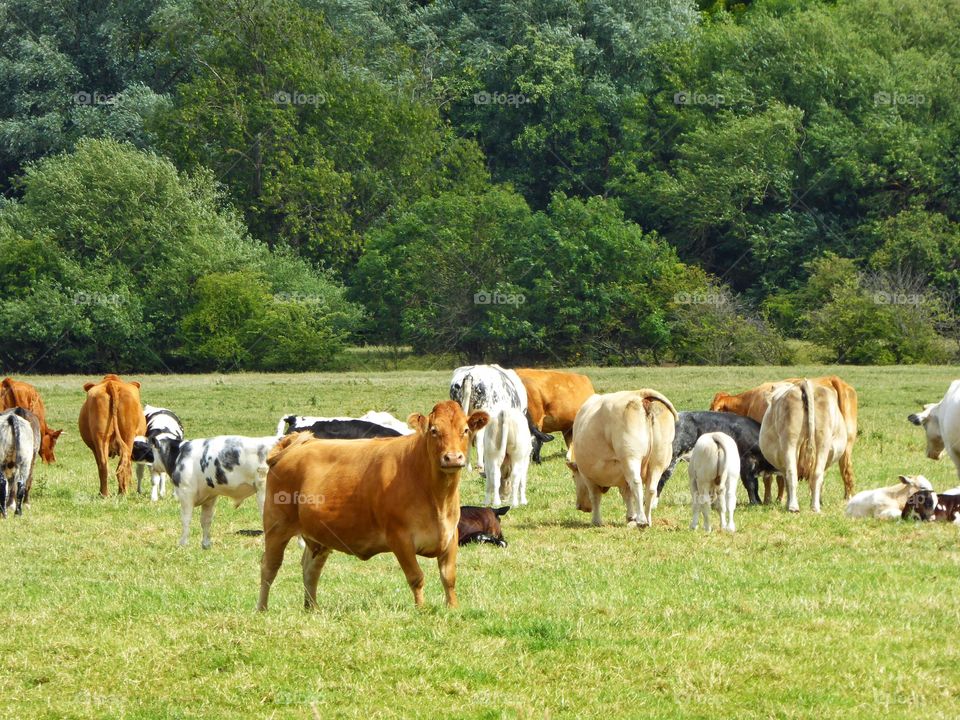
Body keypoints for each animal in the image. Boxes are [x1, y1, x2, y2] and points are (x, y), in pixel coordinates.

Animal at [150, 436, 278, 548]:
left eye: (150, 450)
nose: (151, 467)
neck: (179, 454)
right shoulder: (210, 496)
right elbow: (206, 520)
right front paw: (206, 544)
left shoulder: (186, 493)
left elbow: (186, 519)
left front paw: (183, 544)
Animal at [256, 400, 488, 608]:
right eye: (433, 430)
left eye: (465, 430)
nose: (453, 458)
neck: (436, 497)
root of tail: (298, 444)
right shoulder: (400, 538)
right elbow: (416, 577)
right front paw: (421, 610)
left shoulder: (450, 535)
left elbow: (449, 578)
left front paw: (453, 608)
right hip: (277, 527)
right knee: (269, 567)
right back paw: (262, 608)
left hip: (318, 536)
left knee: (310, 569)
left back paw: (312, 607)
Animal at [564, 390, 676, 532]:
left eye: (573, 476)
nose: (579, 506)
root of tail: (640, 395)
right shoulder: (622, 476)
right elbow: (627, 494)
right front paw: (630, 517)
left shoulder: (587, 476)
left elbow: (595, 496)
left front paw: (596, 521)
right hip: (658, 462)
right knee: (651, 489)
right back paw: (648, 519)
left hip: (631, 457)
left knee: (636, 483)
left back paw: (641, 520)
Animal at [708, 374, 860, 498]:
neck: (750, 402)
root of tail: (831, 378)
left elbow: (769, 477)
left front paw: (771, 499)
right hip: (844, 444)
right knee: (844, 471)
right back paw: (846, 497)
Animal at [760, 380, 844, 516]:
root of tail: (804, 383)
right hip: (822, 441)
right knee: (816, 475)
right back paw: (815, 507)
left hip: (790, 441)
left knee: (791, 473)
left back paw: (793, 506)